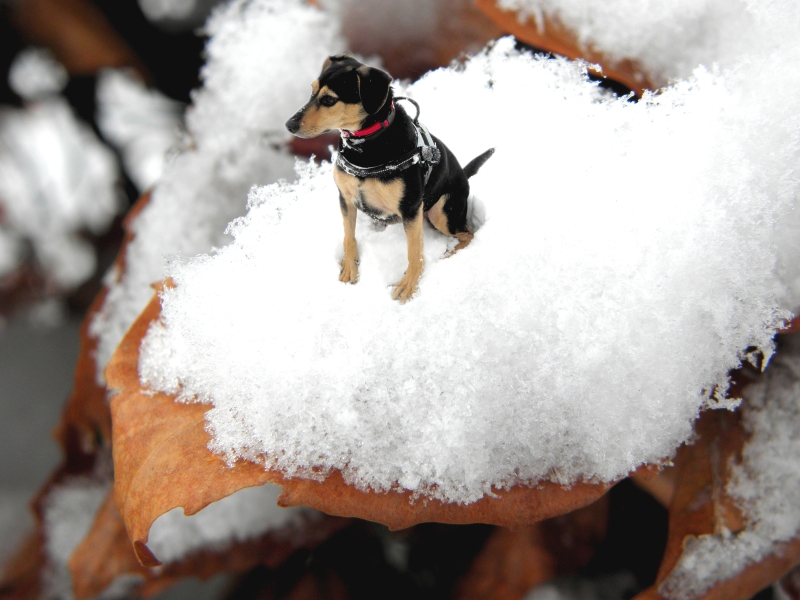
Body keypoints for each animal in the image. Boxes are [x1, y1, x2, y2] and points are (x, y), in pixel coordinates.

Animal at [284, 54, 490, 302]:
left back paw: (449, 255)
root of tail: (465, 177)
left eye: (329, 100)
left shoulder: (411, 208)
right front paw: (349, 269)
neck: (366, 145)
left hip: (442, 212)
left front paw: (409, 286)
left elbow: (414, 253)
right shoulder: (345, 198)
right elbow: (348, 236)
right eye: (312, 91)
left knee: (468, 234)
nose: (289, 125)